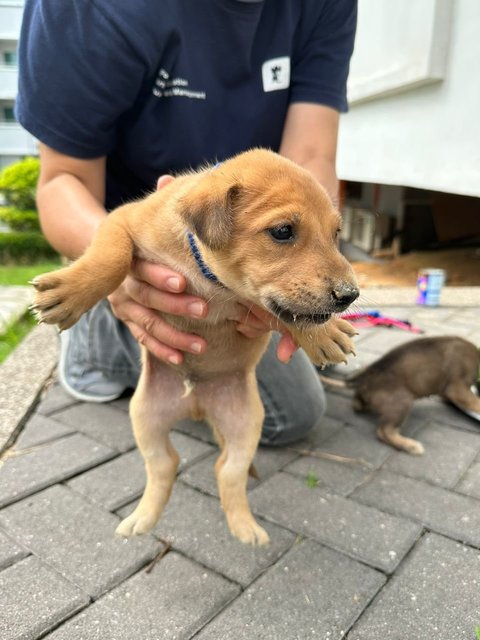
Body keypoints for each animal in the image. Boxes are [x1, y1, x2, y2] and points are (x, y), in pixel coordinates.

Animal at [31, 150, 358, 544]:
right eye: (283, 232)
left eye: (336, 234)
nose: (350, 295)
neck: (207, 276)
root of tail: (197, 403)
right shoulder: (121, 220)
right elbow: (112, 256)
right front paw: (72, 291)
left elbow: (293, 312)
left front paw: (324, 334)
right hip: (145, 417)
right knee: (164, 464)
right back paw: (142, 519)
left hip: (245, 423)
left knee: (226, 469)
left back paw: (244, 527)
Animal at [320, 338, 478, 452]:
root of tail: (367, 375)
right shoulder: (457, 388)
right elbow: (475, 402)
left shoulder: (449, 391)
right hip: (402, 402)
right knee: (384, 431)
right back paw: (409, 445)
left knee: (357, 403)